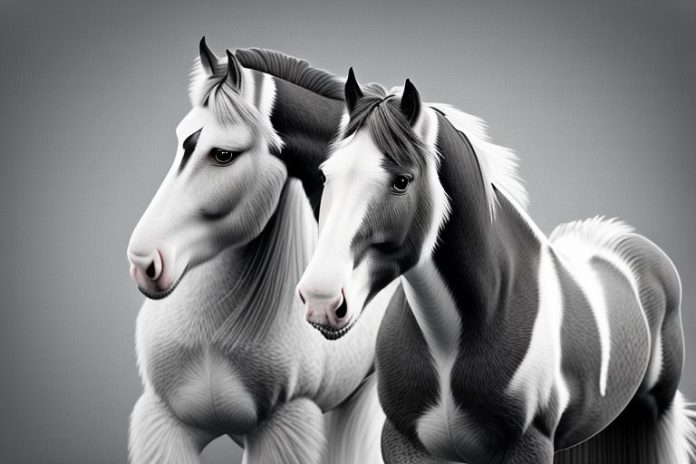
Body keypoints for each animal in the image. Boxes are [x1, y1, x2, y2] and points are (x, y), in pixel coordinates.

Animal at [126, 40, 397, 464]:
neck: (210, 334)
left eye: (223, 154)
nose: (144, 262)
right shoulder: (164, 419)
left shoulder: (285, 425)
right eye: (180, 136)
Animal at [296, 69, 696, 463]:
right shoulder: (403, 443)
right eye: (326, 175)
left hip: (652, 412)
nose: (321, 300)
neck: (450, 342)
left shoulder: (530, 446)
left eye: (401, 181)